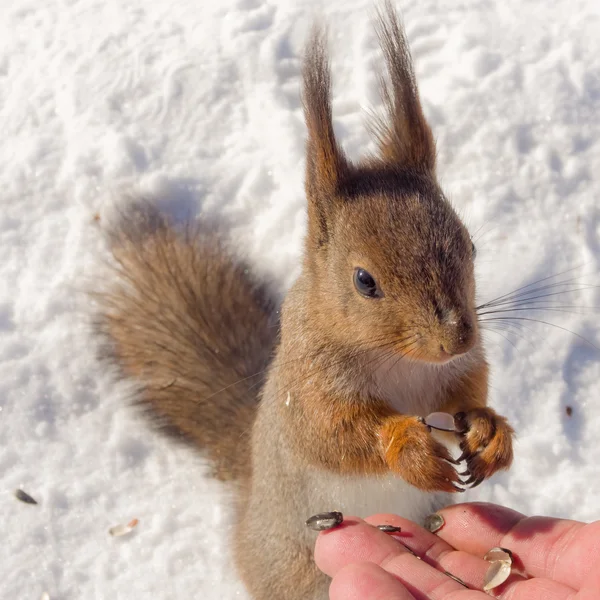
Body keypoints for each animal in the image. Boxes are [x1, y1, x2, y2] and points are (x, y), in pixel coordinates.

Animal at [94, 2, 516, 596]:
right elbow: (332, 436)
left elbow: (469, 390)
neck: (401, 362)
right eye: (364, 280)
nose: (455, 338)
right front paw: (406, 447)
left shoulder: (459, 369)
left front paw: (489, 429)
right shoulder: (308, 386)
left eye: (471, 245)